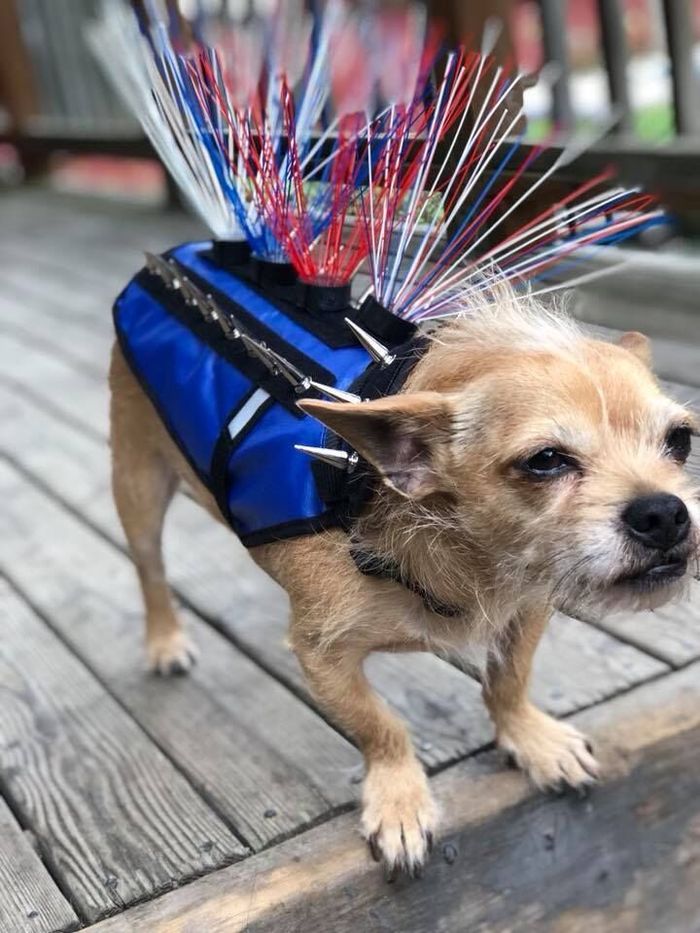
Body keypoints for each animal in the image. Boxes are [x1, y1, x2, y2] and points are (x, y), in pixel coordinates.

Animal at [108, 294, 696, 876]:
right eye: (546, 460)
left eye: (680, 440)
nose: (665, 513)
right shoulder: (325, 659)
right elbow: (381, 726)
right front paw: (400, 800)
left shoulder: (528, 608)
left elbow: (509, 679)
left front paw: (533, 739)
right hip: (138, 487)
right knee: (150, 570)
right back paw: (165, 640)